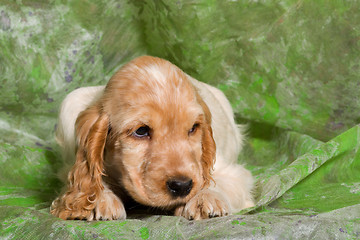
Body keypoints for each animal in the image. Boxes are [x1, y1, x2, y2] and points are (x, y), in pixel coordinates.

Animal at [50, 55, 255, 220]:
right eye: (141, 131)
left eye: (193, 128)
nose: (182, 186)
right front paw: (99, 200)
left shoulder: (232, 172)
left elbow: (216, 180)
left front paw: (204, 198)